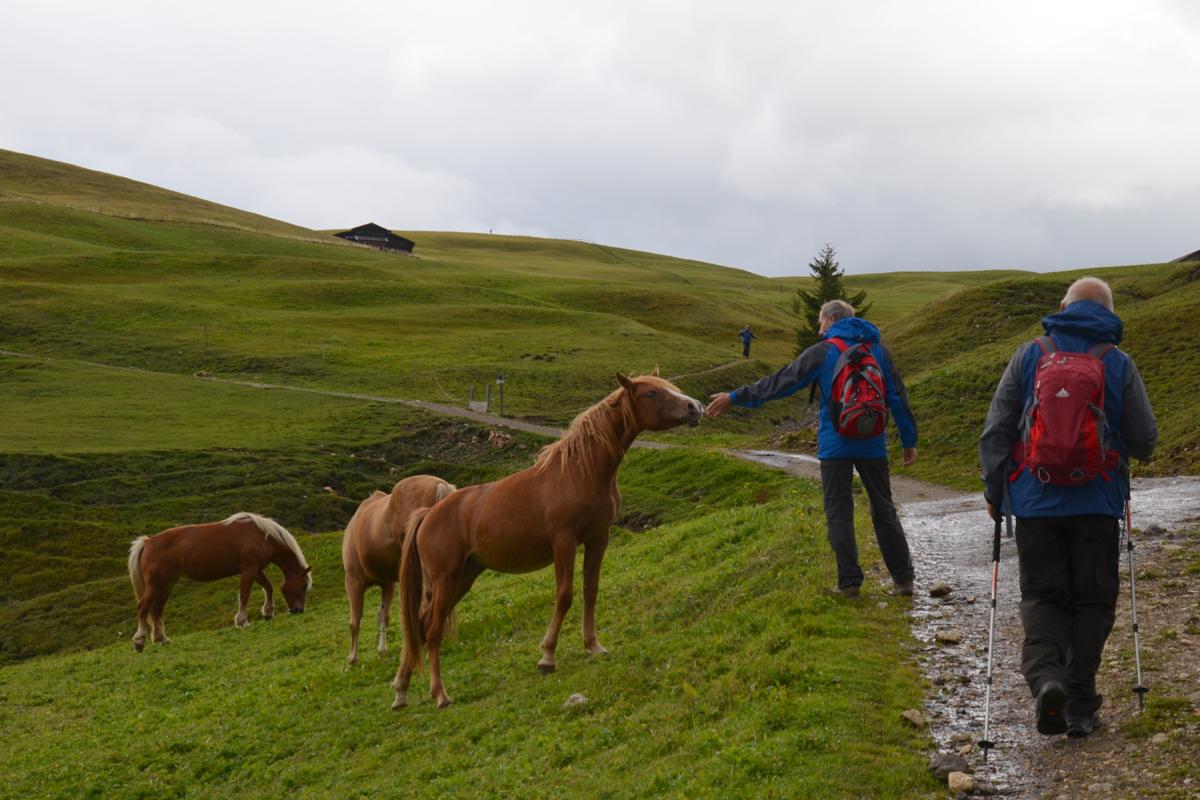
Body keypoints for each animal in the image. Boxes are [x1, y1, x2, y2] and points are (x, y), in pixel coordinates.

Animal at [128, 513, 312, 652]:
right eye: (303, 586)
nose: (298, 610)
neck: (262, 535)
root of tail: (148, 542)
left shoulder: (256, 570)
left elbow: (269, 587)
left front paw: (268, 613)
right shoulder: (249, 569)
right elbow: (245, 595)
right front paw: (242, 621)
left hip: (166, 585)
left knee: (157, 609)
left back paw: (162, 639)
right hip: (156, 585)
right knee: (144, 607)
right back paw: (140, 641)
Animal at [348, 472, 458, 666]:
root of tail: (440, 485)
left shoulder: (353, 581)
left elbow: (355, 621)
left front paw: (353, 659)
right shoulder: (388, 584)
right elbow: (382, 616)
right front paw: (381, 651)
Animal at [393, 371, 700, 710]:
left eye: (670, 386)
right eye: (650, 393)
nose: (695, 407)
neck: (581, 471)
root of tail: (427, 515)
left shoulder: (598, 539)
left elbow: (590, 591)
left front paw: (594, 645)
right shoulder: (564, 542)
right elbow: (564, 595)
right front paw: (547, 656)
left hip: (463, 578)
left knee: (419, 627)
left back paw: (401, 690)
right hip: (446, 580)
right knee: (432, 630)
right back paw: (440, 694)